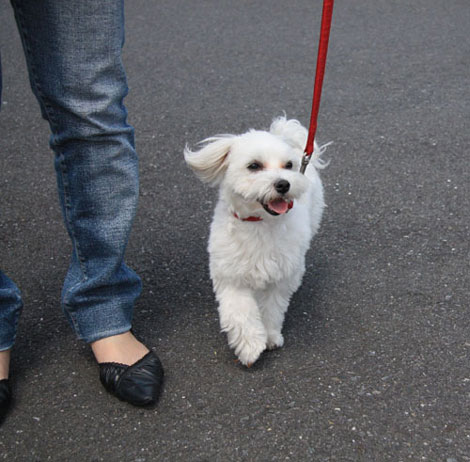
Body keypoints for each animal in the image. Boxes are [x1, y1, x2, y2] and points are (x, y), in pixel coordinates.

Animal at [185, 116, 326, 368]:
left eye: (288, 165)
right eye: (254, 166)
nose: (283, 184)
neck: (259, 223)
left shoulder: (277, 278)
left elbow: (271, 309)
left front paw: (269, 336)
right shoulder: (231, 277)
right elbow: (240, 313)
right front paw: (250, 347)